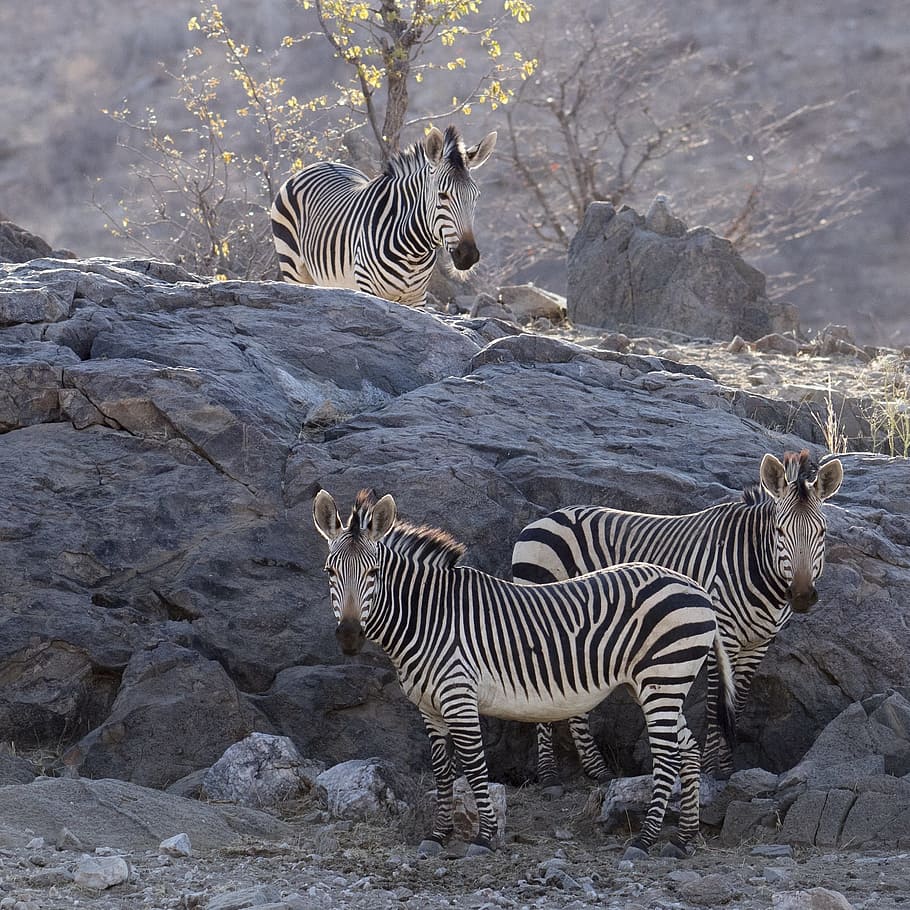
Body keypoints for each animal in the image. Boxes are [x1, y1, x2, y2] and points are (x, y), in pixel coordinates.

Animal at [270, 126, 496, 305]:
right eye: (443, 195)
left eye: (476, 197)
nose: (468, 255)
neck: (413, 251)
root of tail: (318, 164)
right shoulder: (369, 288)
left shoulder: (417, 297)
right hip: (293, 266)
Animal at [313, 488, 736, 861]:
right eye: (330, 571)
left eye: (373, 572)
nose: (349, 637)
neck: (429, 617)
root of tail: (694, 587)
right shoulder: (430, 709)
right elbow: (442, 772)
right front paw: (438, 834)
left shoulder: (460, 698)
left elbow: (474, 768)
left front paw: (483, 837)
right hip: (656, 685)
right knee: (688, 749)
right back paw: (682, 839)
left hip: (663, 679)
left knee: (667, 759)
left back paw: (645, 841)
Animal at [511, 449, 844, 792]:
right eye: (779, 531)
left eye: (822, 532)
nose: (802, 596)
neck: (756, 565)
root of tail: (543, 518)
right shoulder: (721, 634)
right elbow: (715, 704)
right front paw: (711, 768)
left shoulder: (759, 643)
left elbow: (737, 702)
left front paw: (728, 767)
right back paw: (549, 775)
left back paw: (597, 770)